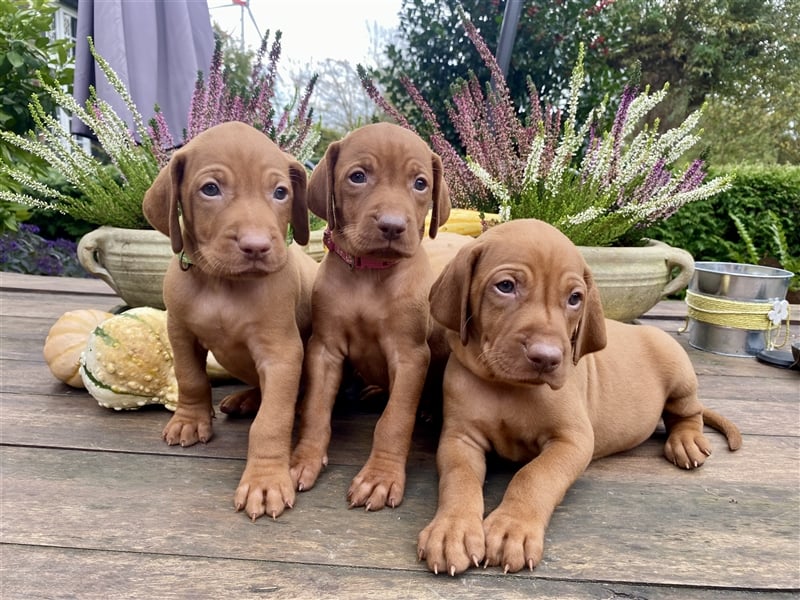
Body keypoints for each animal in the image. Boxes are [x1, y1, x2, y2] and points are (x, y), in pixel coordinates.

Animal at [422, 218, 740, 576]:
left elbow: (535, 475)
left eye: (574, 298)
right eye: (505, 286)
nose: (546, 358)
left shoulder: (573, 440)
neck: (508, 387)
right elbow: (458, 478)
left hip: (677, 367)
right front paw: (452, 530)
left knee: (687, 412)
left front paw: (512, 528)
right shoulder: (459, 438)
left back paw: (685, 441)